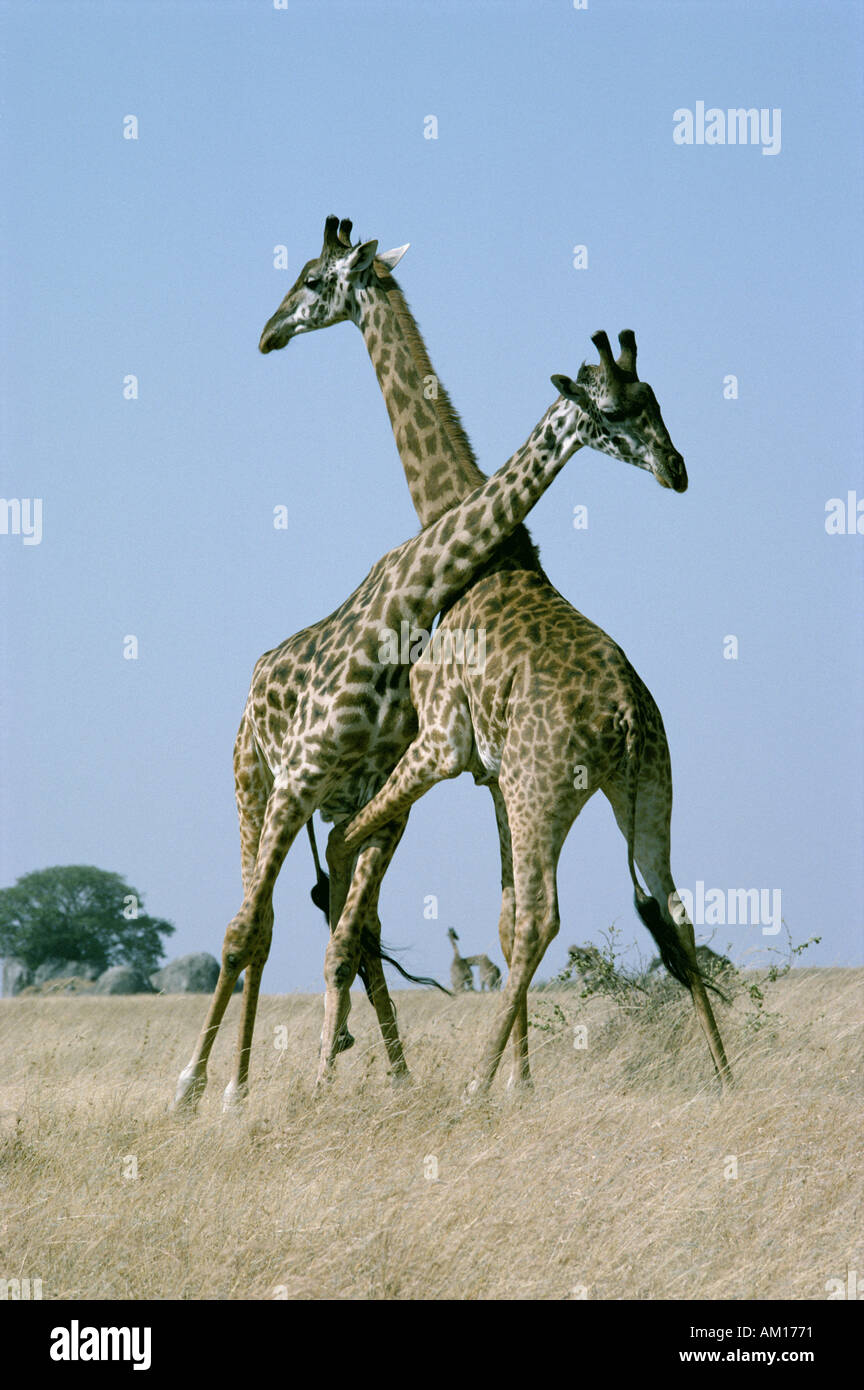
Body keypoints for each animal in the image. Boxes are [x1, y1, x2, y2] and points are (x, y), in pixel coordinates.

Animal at [172, 342, 676, 1111]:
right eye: (618, 409)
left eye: (655, 401)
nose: (676, 468)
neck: (408, 600)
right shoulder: (318, 777)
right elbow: (254, 931)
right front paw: (198, 1088)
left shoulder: (400, 792)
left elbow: (352, 931)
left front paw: (352, 1068)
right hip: (254, 783)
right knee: (256, 923)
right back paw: (230, 1082)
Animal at [259, 217, 730, 1094]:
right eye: (633, 405)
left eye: (309, 280)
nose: (677, 469)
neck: (481, 542)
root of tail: (624, 722)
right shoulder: (488, 778)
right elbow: (501, 920)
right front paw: (524, 1082)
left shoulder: (444, 745)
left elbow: (350, 850)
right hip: (648, 792)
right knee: (672, 909)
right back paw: (722, 1075)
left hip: (546, 788)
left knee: (548, 915)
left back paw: (472, 1087)